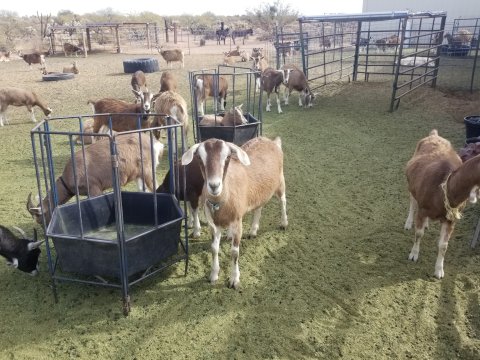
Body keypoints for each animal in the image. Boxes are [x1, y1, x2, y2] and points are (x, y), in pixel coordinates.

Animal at [181, 136, 286, 288]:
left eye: (227, 157)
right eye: (200, 158)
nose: (214, 186)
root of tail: (272, 141)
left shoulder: (237, 222)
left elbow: (234, 252)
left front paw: (234, 280)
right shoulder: (214, 225)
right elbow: (214, 248)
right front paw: (213, 275)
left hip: (280, 181)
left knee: (283, 201)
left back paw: (284, 223)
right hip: (260, 192)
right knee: (258, 208)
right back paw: (253, 231)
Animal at [404, 129, 480, 278]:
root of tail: (434, 134)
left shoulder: (451, 218)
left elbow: (444, 245)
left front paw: (439, 271)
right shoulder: (422, 209)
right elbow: (419, 233)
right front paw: (413, 255)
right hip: (412, 185)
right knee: (412, 202)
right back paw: (409, 223)